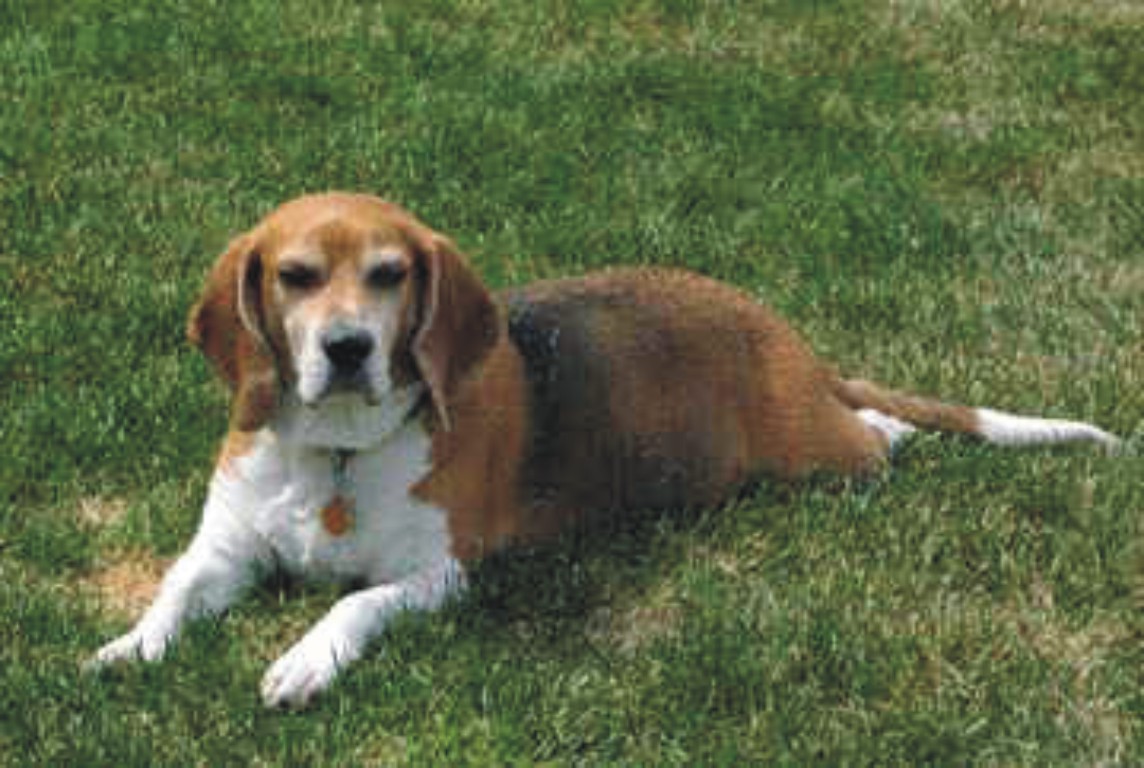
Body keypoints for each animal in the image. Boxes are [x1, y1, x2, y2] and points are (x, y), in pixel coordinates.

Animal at [84, 192, 1121, 709]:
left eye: (388, 275)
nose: (347, 348)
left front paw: (304, 661)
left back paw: (888, 431)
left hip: (816, 456)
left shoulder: (443, 576)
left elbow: (355, 604)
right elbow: (172, 593)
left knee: (875, 441)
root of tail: (784, 338)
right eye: (297, 276)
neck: (337, 451)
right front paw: (128, 651)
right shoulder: (224, 550)